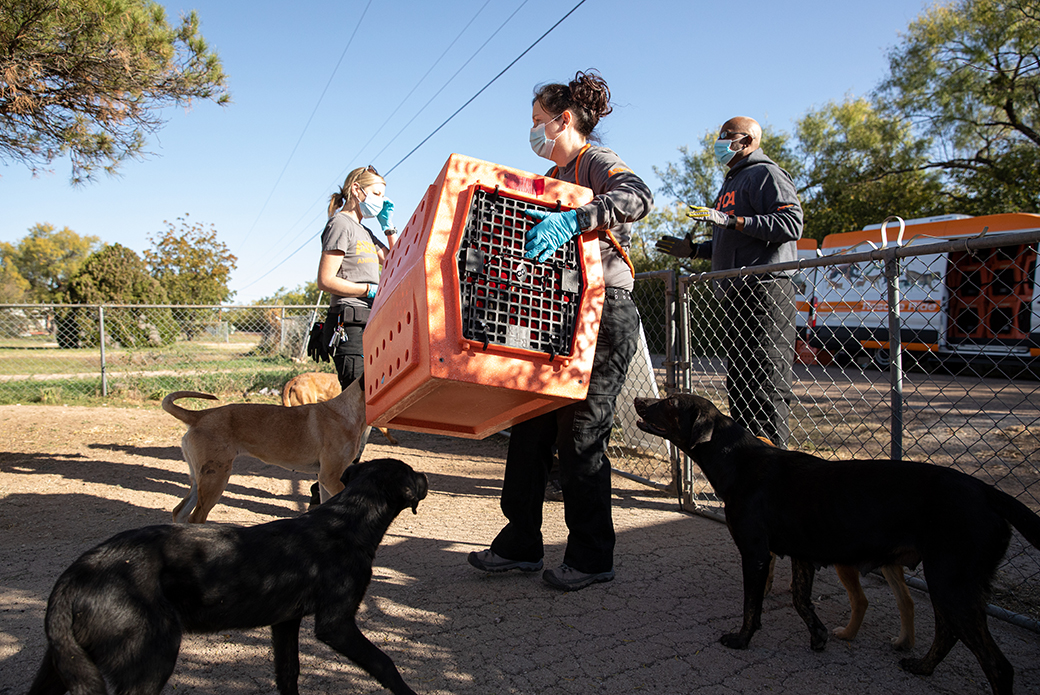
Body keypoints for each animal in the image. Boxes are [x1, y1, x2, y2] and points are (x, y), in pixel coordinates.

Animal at [28, 455, 428, 695]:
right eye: (413, 474)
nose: (426, 476)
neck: (349, 518)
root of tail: (74, 576)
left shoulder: (285, 622)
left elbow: (288, 673)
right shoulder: (336, 624)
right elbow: (385, 663)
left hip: (63, 664)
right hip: (151, 656)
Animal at [162, 374, 370, 520]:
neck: (347, 412)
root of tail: (200, 416)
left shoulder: (325, 479)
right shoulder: (331, 477)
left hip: (199, 479)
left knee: (179, 512)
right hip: (215, 480)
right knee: (195, 518)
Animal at [628, 393, 1040, 695]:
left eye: (669, 401)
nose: (637, 398)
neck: (740, 461)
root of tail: (987, 492)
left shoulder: (756, 553)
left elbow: (751, 606)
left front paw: (742, 639)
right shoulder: (800, 554)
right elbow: (800, 599)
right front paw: (819, 635)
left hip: (951, 584)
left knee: (998, 665)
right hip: (947, 584)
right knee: (947, 633)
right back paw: (922, 666)